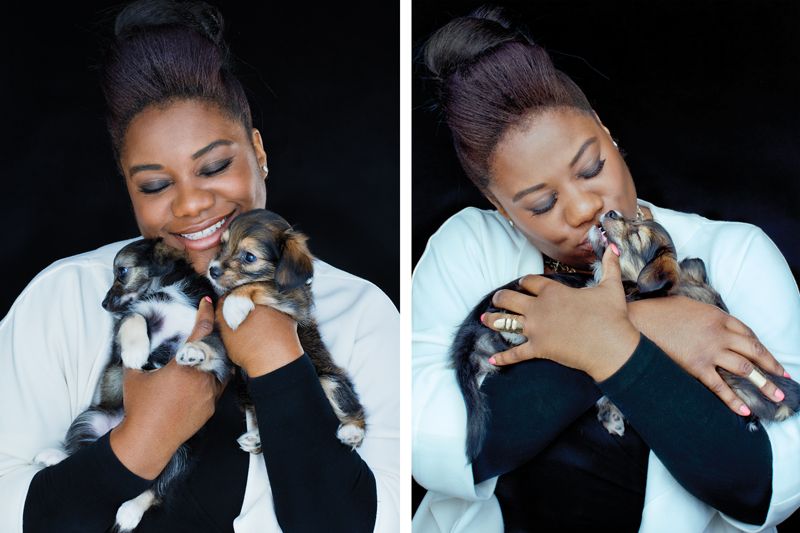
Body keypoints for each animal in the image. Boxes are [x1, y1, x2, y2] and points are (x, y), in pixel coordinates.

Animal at [34, 239, 231, 528]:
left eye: (122, 272)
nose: (103, 303)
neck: (166, 288)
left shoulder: (218, 339)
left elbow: (214, 346)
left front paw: (195, 352)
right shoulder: (131, 319)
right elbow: (134, 319)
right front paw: (136, 354)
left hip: (181, 453)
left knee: (157, 487)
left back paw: (129, 512)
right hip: (90, 418)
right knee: (81, 449)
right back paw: (53, 456)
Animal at [208, 209, 368, 448]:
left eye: (249, 257)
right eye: (222, 244)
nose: (212, 270)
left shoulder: (294, 301)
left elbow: (261, 284)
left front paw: (233, 305)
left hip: (329, 380)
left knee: (353, 407)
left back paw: (353, 431)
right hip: (246, 393)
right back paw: (255, 438)